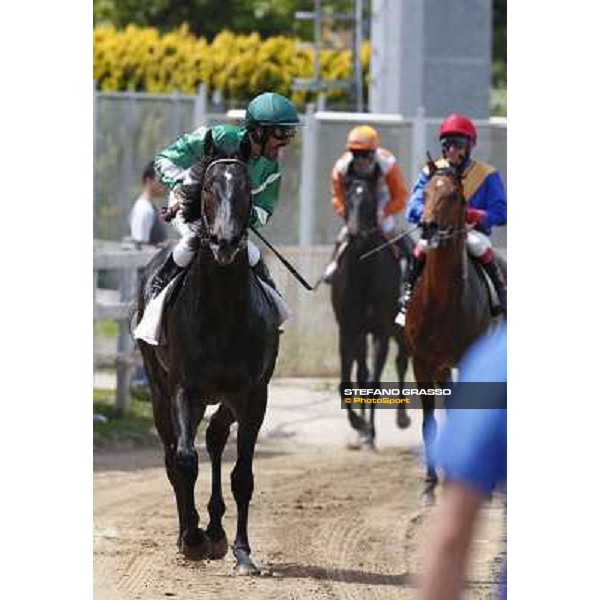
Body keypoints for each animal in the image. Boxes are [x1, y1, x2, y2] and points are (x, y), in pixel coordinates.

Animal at [134, 134, 278, 576]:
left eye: (247, 189)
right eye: (211, 189)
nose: (225, 242)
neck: (222, 311)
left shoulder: (252, 394)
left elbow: (242, 474)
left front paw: (242, 551)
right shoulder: (186, 388)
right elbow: (184, 459)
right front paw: (192, 538)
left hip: (227, 397)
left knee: (215, 439)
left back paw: (215, 529)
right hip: (160, 391)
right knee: (172, 455)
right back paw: (190, 532)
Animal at [332, 171, 412, 448]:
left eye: (370, 201)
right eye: (348, 199)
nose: (356, 234)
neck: (364, 273)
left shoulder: (382, 331)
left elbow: (375, 382)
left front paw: (369, 431)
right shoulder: (348, 330)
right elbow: (348, 382)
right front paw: (359, 424)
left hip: (402, 329)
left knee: (401, 362)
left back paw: (401, 418)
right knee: (363, 373)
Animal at [404, 158, 506, 502]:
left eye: (453, 195)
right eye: (425, 192)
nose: (428, 226)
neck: (441, 301)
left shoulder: (467, 358)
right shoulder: (422, 362)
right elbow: (429, 423)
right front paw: (429, 485)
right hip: (441, 366)